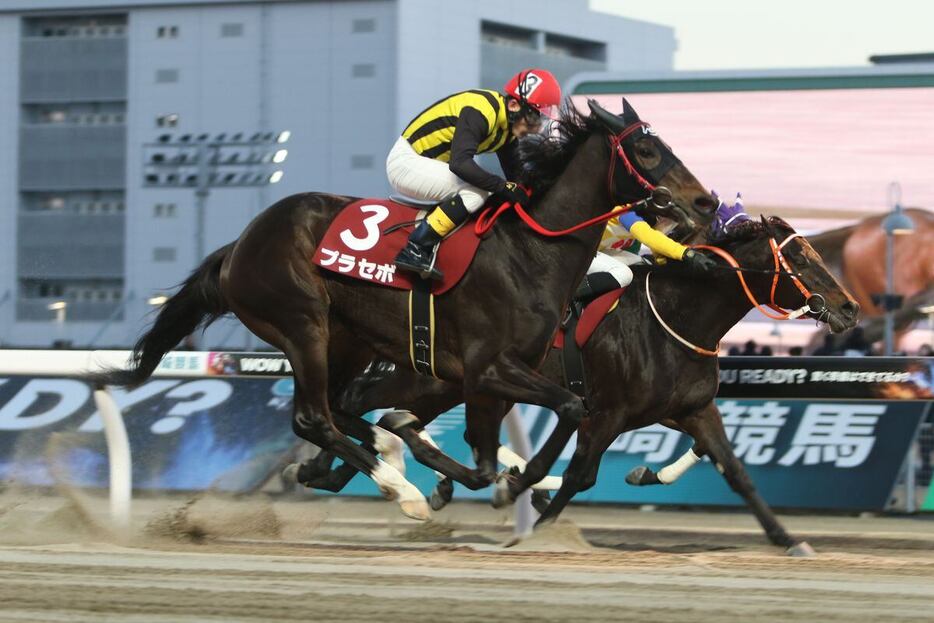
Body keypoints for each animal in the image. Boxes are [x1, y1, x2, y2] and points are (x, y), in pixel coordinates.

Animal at [93, 100, 716, 520]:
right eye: (647, 150)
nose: (705, 200)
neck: (533, 249)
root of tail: (240, 243)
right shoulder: (490, 366)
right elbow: (566, 407)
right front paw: (512, 479)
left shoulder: (486, 376)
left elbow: (505, 447)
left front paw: (510, 479)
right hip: (303, 326)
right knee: (313, 416)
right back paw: (403, 490)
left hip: (348, 341)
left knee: (338, 409)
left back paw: (364, 461)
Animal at [304, 213, 860, 552]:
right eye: (801, 259)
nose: (851, 307)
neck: (676, 320)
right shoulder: (606, 413)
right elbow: (580, 476)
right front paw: (539, 530)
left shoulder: (693, 410)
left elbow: (737, 472)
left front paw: (788, 538)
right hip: (434, 381)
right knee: (360, 402)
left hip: (451, 386)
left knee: (390, 415)